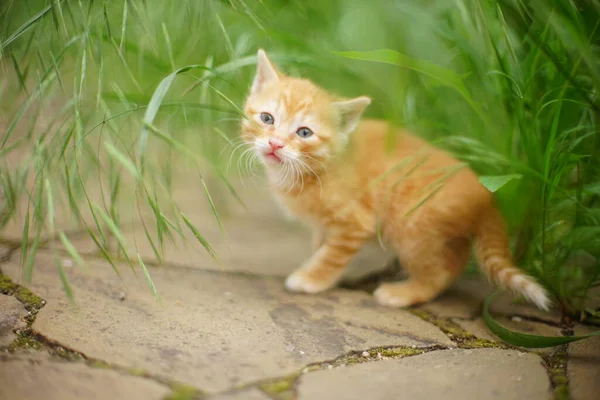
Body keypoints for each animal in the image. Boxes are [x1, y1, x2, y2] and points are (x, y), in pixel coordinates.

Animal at [241, 49, 552, 310]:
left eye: (304, 133)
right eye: (267, 118)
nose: (275, 144)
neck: (312, 170)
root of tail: (487, 197)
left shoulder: (356, 223)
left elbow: (332, 255)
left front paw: (311, 278)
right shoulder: (323, 225)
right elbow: (321, 244)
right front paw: (313, 263)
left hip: (413, 228)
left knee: (441, 269)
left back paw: (403, 293)